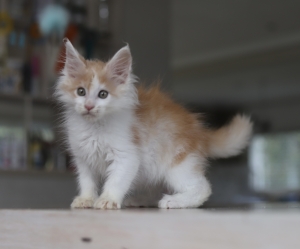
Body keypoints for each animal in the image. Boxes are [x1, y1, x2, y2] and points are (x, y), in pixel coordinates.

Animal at [55, 39, 252, 209]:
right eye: (81, 91)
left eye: (103, 94)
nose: (89, 106)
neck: (94, 127)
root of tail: (200, 131)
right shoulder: (83, 158)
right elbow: (87, 181)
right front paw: (86, 199)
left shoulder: (127, 156)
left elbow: (116, 180)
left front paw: (108, 199)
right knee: (157, 187)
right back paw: (140, 200)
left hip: (178, 164)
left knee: (202, 187)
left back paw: (174, 201)